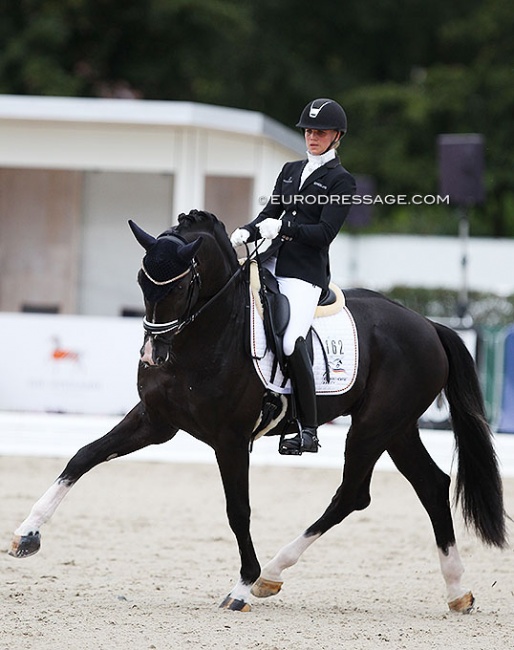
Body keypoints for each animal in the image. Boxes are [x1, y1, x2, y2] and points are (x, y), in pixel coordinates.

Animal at [9, 209, 506, 613]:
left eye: (183, 283)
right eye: (141, 281)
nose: (153, 354)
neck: (208, 333)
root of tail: (428, 324)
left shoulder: (230, 438)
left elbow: (238, 509)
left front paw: (242, 587)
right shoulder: (156, 422)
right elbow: (84, 456)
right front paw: (27, 534)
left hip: (373, 427)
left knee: (353, 494)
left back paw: (270, 573)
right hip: (397, 428)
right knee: (431, 485)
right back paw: (458, 592)